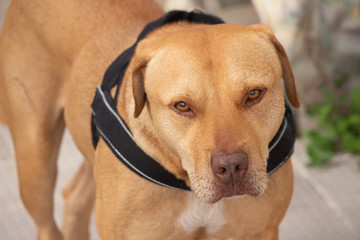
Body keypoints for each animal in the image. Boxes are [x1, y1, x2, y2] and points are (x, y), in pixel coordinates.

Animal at [0, 0, 298, 240]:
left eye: (254, 94)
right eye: (182, 106)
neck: (188, 186)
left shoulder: (259, 231)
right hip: (35, 160)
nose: (232, 166)